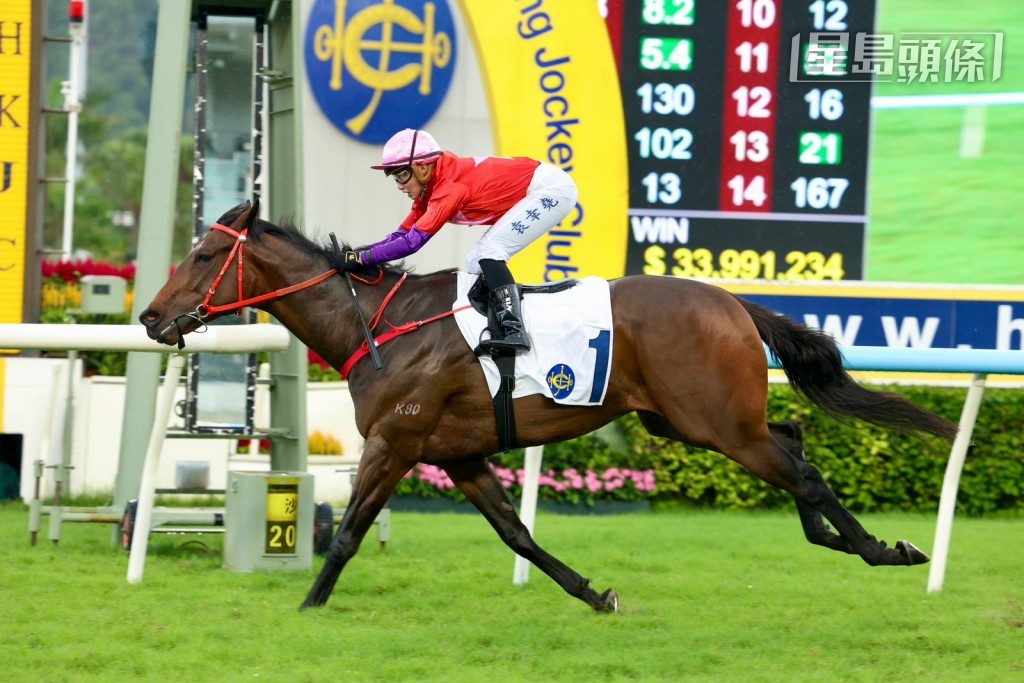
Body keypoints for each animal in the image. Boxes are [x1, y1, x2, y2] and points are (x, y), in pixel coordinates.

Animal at [140, 200, 958, 613]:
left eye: (204, 256)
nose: (150, 317)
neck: (378, 325)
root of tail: (731, 299)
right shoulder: (460, 455)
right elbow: (520, 536)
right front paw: (595, 594)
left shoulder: (395, 444)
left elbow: (345, 536)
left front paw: (309, 608)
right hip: (695, 420)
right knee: (790, 441)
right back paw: (833, 537)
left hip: (715, 422)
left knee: (801, 470)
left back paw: (883, 548)